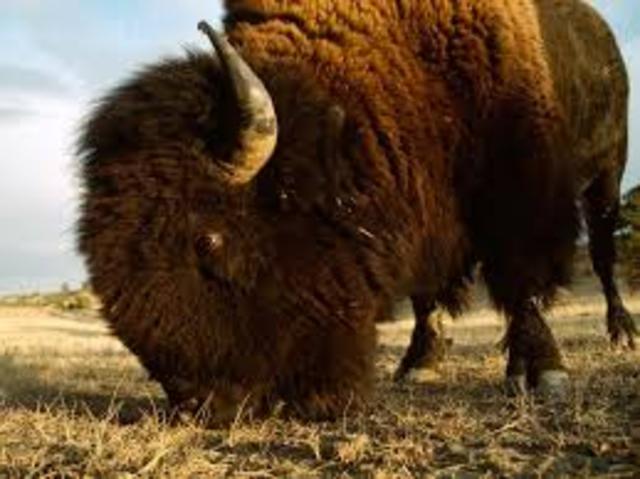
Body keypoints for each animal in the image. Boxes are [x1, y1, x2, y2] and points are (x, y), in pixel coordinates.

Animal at [77, 0, 620, 422]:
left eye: (208, 240)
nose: (197, 403)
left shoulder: (520, 190)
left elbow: (521, 279)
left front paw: (548, 372)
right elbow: (427, 295)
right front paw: (419, 365)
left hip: (607, 176)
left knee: (603, 257)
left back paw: (618, 335)